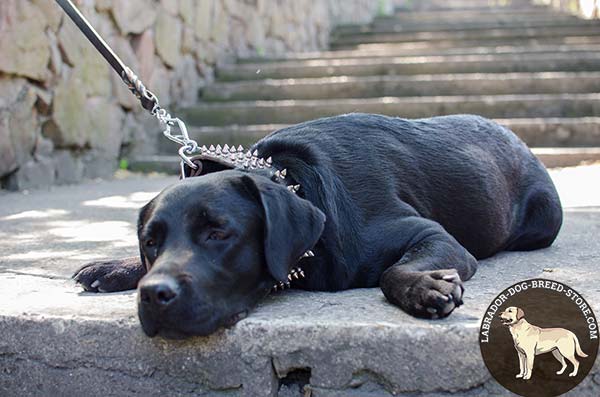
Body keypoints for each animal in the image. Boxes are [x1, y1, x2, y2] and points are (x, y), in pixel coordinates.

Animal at [74, 113, 564, 338]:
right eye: (150, 242)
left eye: (219, 233)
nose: (155, 296)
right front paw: (115, 267)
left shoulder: (433, 236)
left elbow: (392, 272)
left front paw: (423, 287)